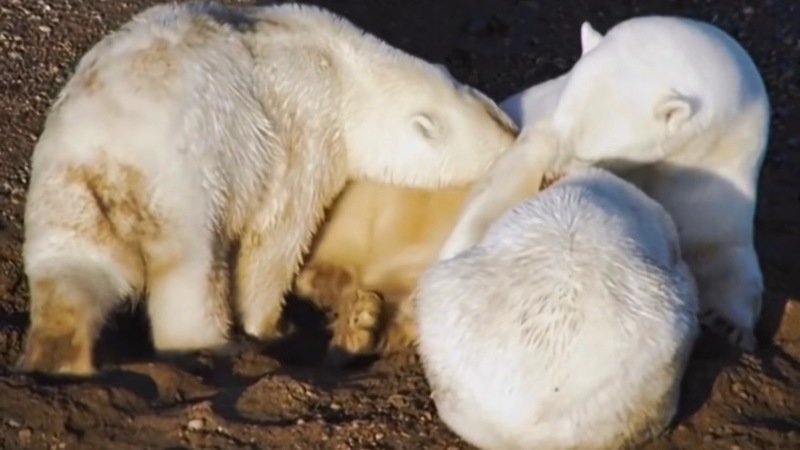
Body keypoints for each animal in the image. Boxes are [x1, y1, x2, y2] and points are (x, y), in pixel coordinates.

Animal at [18, 1, 518, 376]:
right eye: (499, 126)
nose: (517, 133)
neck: (344, 64)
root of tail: (108, 162)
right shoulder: (305, 133)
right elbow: (277, 237)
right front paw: (272, 328)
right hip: (183, 186)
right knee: (192, 274)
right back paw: (215, 344)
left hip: (63, 193)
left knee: (75, 271)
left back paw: (58, 358)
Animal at [438, 16, 770, 351]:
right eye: (561, 127)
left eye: (586, 151)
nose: (548, 178)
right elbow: (510, 175)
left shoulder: (720, 169)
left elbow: (721, 245)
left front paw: (728, 324)